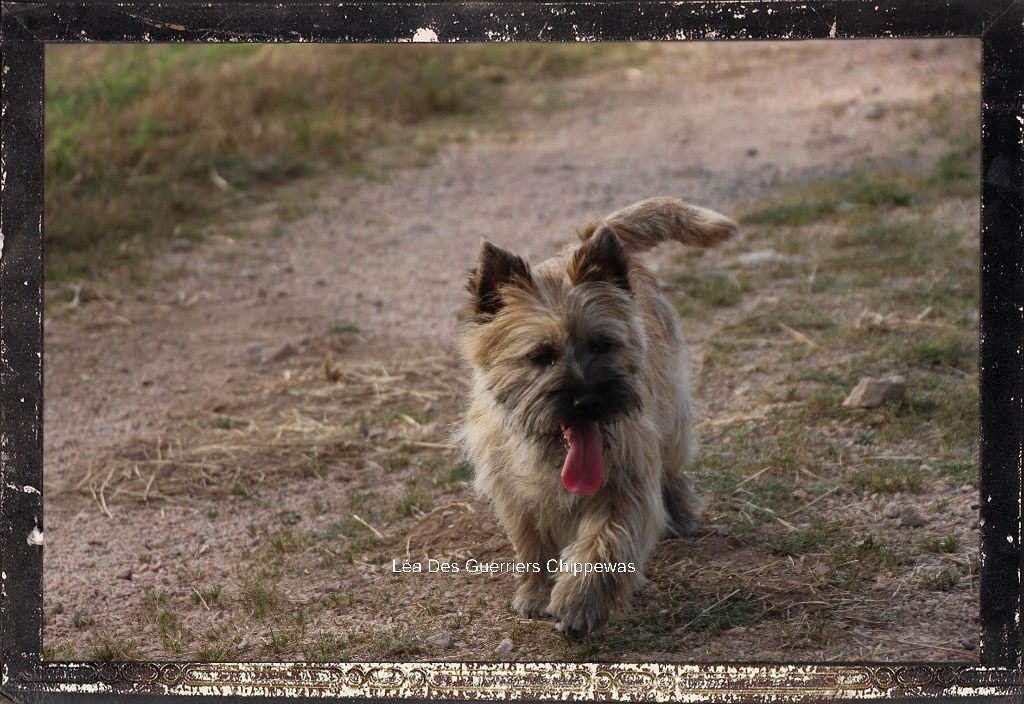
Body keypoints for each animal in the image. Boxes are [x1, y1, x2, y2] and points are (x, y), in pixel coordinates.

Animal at [456, 196, 737, 638]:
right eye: (541, 355)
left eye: (603, 345)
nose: (589, 401)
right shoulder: (515, 494)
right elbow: (533, 542)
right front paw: (536, 594)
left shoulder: (625, 481)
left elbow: (606, 542)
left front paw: (579, 602)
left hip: (671, 415)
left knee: (672, 468)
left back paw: (680, 515)